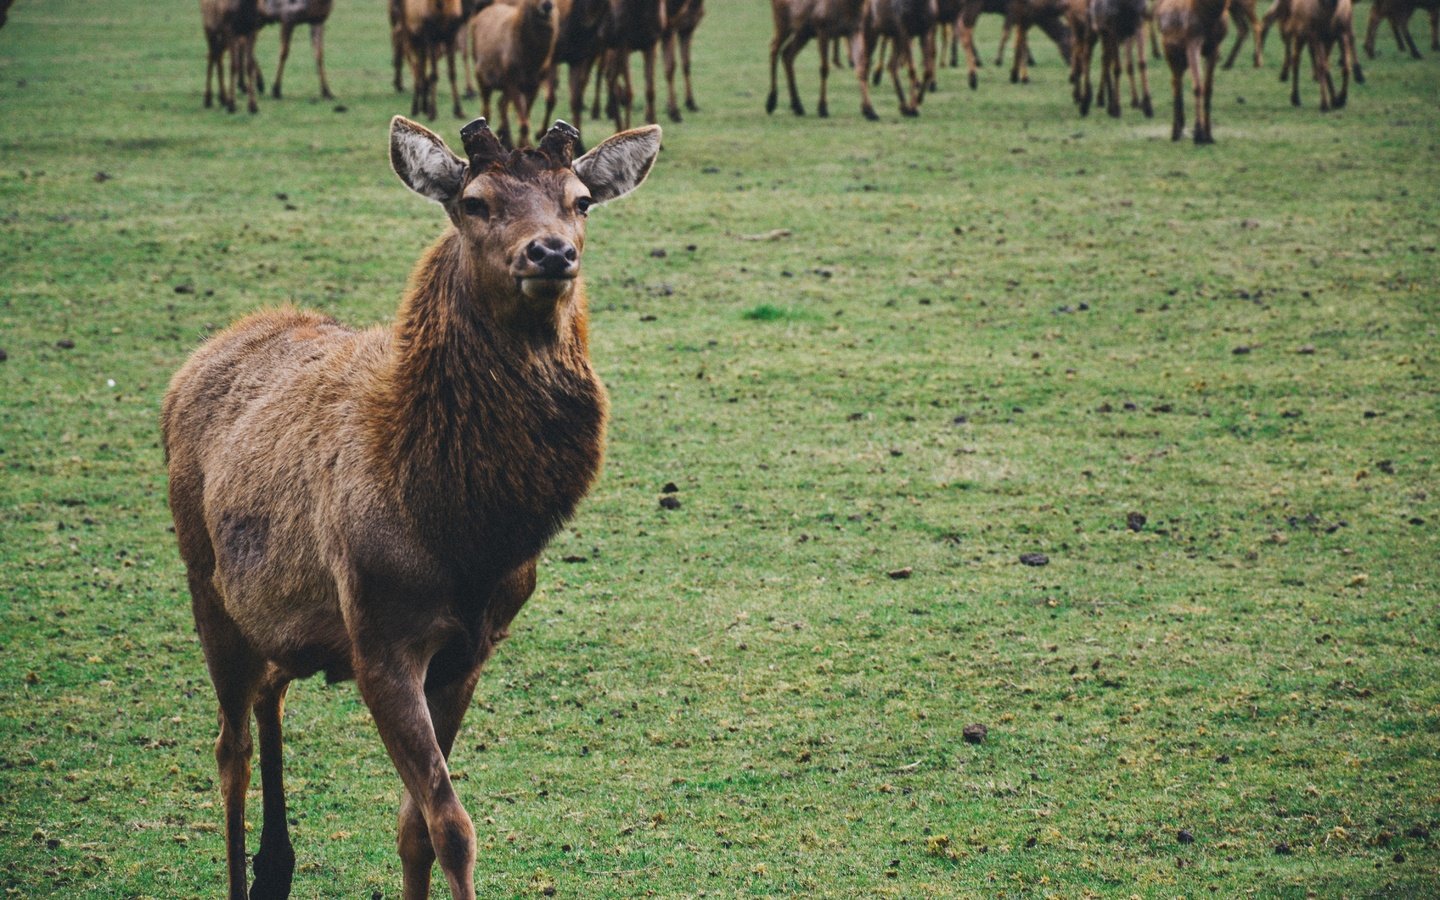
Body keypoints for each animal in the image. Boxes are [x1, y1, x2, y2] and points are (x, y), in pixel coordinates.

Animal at [164, 113, 662, 898]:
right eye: (475, 202)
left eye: (580, 200)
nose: (551, 251)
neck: (462, 532)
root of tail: (193, 364)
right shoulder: (379, 639)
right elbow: (451, 824)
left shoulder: (470, 649)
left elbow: (415, 826)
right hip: (205, 583)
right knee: (229, 747)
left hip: (277, 611)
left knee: (271, 691)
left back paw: (278, 863)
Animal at [466, 0, 555, 146]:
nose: (547, 5)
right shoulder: (513, 81)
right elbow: (524, 123)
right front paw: (523, 146)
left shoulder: (534, 84)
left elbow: (526, 119)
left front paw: (525, 145)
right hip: (482, 76)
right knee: (487, 110)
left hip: (504, 86)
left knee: (501, 105)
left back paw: (507, 140)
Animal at [1152, 0, 1232, 140]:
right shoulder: (1192, 42)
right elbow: (1198, 86)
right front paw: (1199, 134)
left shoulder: (1214, 47)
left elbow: (1208, 88)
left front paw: (1208, 134)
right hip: (1170, 49)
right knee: (1175, 82)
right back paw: (1175, 132)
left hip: (1182, 57)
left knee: (1178, 81)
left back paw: (1180, 128)